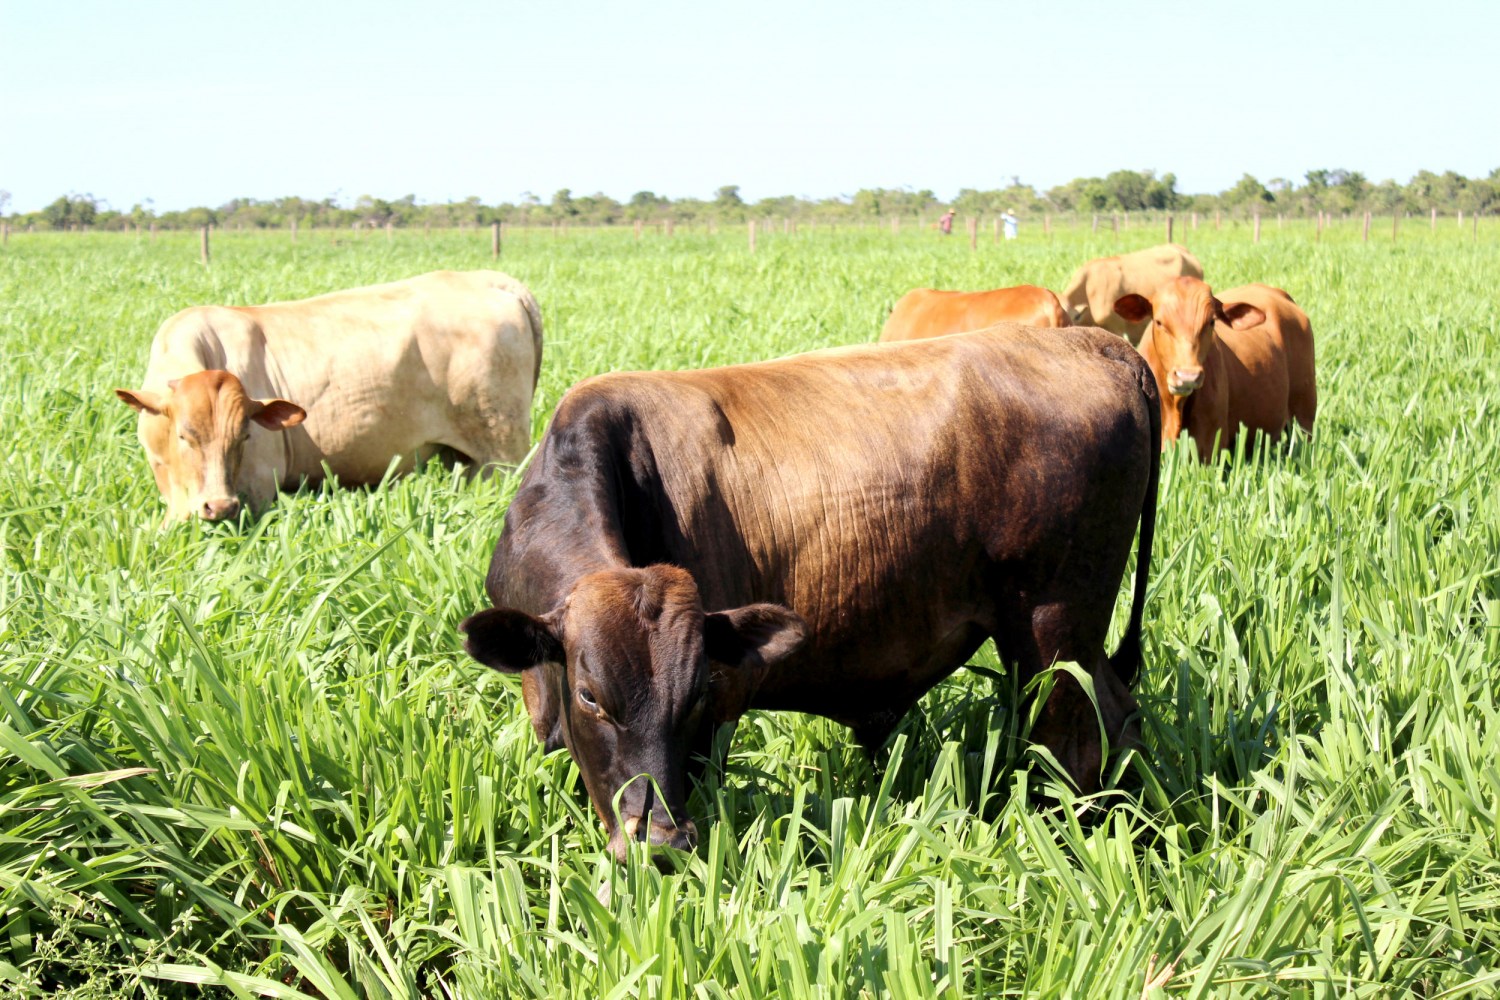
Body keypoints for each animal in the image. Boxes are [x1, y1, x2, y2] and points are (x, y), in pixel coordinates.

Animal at [117, 271, 543, 524]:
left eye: (245, 436)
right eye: (184, 436)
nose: (220, 505)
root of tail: (486, 279)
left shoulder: (259, 486)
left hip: (502, 456)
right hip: (466, 460)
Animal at [456, 326, 1158, 863]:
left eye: (696, 693)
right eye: (589, 695)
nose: (661, 844)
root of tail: (1092, 341)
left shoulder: (720, 710)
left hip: (1054, 631)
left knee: (1079, 740)